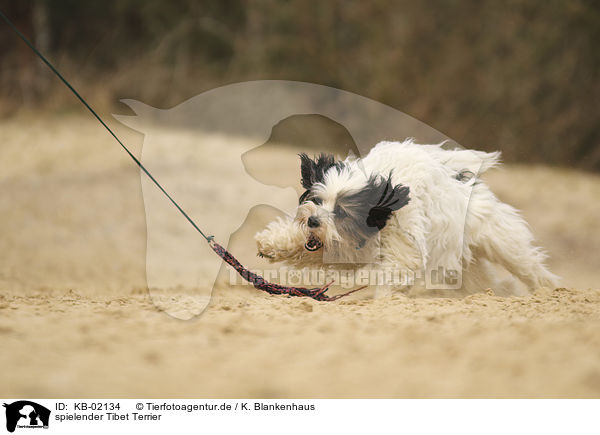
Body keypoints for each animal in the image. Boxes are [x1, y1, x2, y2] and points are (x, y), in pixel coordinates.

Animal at [255, 140, 560, 296]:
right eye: (317, 200)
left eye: (341, 211)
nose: (313, 221)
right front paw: (272, 243)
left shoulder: (404, 251)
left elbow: (386, 269)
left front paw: (358, 282)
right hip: (463, 265)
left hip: (502, 243)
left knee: (528, 266)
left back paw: (550, 292)